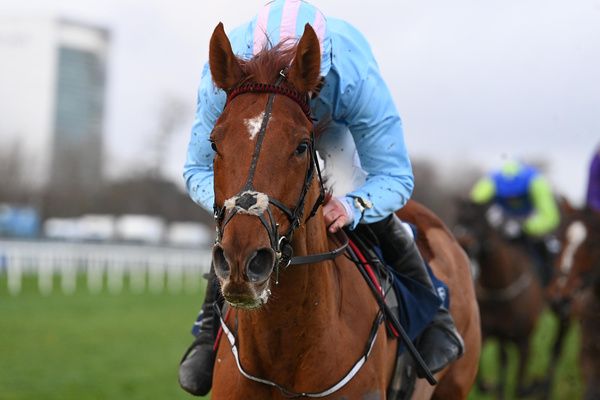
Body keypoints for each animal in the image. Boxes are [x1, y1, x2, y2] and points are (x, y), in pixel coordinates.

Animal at [452, 202, 548, 398]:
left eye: (478, 220)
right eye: (458, 218)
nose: (462, 242)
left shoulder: (524, 341)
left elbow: (519, 384)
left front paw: (530, 386)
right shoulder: (488, 332)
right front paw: (489, 385)